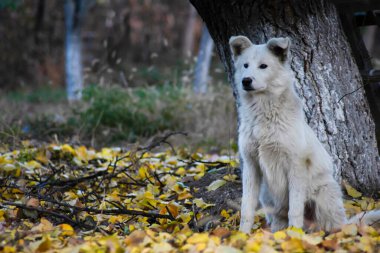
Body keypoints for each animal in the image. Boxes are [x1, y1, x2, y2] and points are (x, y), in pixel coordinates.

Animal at [230, 35, 378, 233]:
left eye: (263, 66)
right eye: (245, 65)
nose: (246, 80)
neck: (263, 114)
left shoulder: (296, 165)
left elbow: (295, 210)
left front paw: (294, 236)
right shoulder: (251, 165)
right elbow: (246, 208)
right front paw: (242, 236)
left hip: (324, 195)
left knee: (330, 228)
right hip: (267, 196)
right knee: (278, 220)